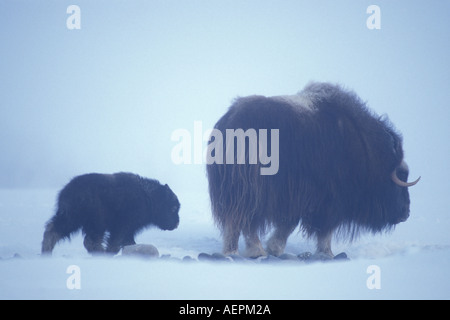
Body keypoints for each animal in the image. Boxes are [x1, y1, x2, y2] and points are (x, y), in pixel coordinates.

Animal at [41, 172, 179, 255]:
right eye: (173, 208)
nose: (177, 223)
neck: (149, 197)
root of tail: (67, 193)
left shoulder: (129, 230)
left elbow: (128, 242)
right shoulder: (121, 226)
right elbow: (116, 242)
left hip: (71, 220)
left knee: (53, 230)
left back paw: (46, 251)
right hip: (94, 222)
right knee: (91, 240)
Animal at [206, 81, 420, 258]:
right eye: (401, 177)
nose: (406, 213)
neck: (366, 151)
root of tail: (230, 124)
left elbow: (290, 223)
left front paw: (275, 248)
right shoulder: (325, 200)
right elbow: (322, 230)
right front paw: (327, 254)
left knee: (241, 221)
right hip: (250, 191)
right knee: (243, 220)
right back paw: (246, 251)